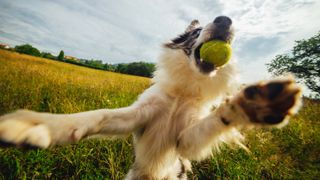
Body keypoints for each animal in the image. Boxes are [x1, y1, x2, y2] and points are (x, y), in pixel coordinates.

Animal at [0, 16, 302, 179]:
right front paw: (39, 125)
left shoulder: (186, 140)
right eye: (196, 31)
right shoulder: (138, 116)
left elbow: (215, 121)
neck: (184, 90)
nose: (225, 20)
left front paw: (255, 103)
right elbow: (96, 115)